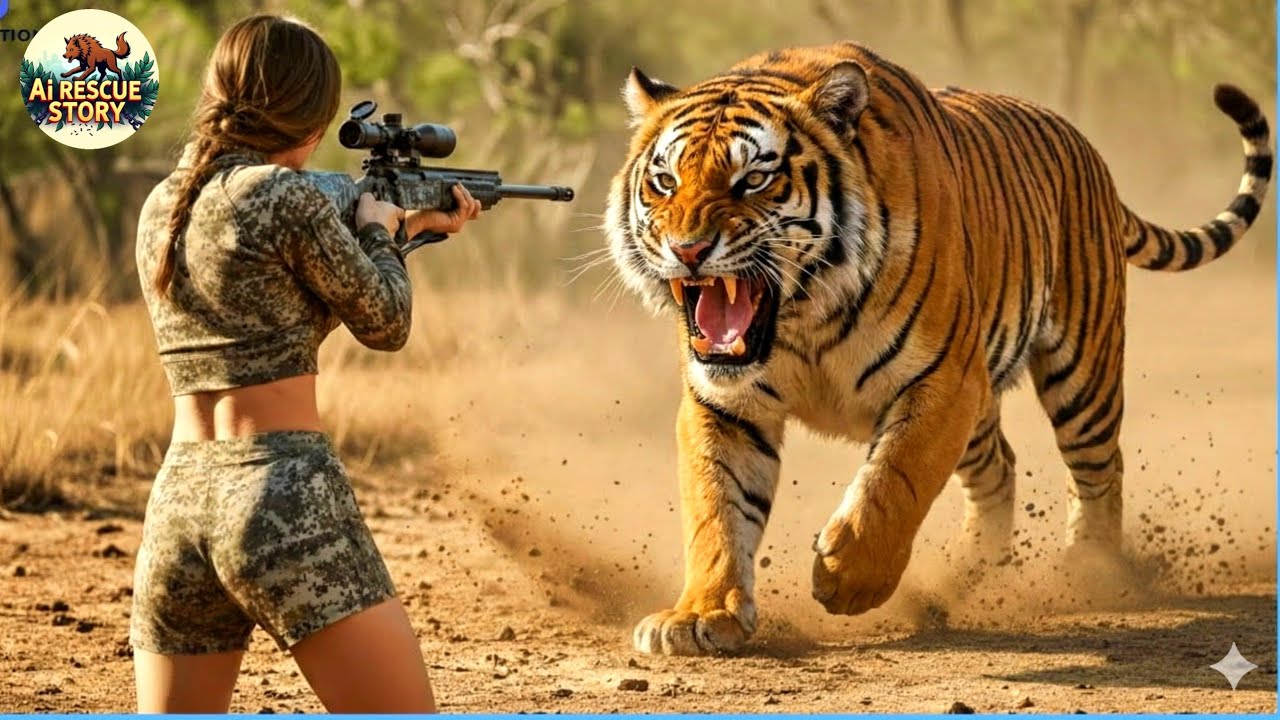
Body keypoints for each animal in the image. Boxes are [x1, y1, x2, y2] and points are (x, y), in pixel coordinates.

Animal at [603, 42, 1272, 656]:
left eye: (754, 180)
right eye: (664, 182)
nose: (688, 250)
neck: (803, 318)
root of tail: (1087, 148)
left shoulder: (942, 380)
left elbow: (894, 481)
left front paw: (848, 579)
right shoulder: (723, 403)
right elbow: (716, 510)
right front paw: (700, 616)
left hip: (1083, 374)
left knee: (1099, 468)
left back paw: (1090, 574)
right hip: (985, 409)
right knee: (1000, 466)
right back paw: (964, 576)